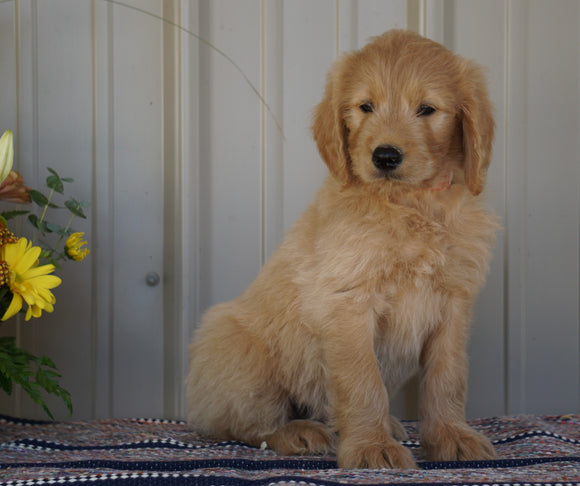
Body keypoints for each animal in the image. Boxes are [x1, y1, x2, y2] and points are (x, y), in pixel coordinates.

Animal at [188, 28, 496, 468]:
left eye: (427, 109)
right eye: (365, 106)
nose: (385, 156)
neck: (408, 204)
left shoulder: (454, 302)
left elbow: (448, 377)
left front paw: (451, 436)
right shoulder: (348, 300)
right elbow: (362, 380)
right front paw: (371, 448)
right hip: (237, 349)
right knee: (244, 425)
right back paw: (297, 432)